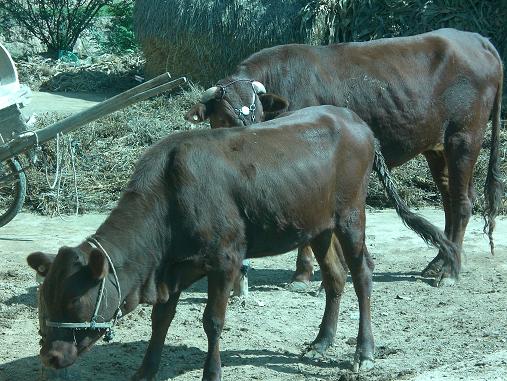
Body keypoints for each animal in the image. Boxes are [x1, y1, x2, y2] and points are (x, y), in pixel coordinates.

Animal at [25, 106, 458, 380]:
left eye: (72, 301)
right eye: (45, 298)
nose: (49, 355)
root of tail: (354, 120)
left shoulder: (226, 258)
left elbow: (212, 321)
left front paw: (211, 373)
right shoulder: (174, 267)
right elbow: (160, 319)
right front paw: (145, 371)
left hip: (351, 214)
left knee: (363, 274)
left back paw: (363, 352)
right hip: (316, 224)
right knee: (335, 277)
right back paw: (321, 342)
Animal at [187, 27, 504, 288]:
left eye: (258, 112)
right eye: (223, 117)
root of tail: (477, 39)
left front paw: (302, 274)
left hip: (464, 136)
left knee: (462, 203)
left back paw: (448, 271)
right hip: (436, 146)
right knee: (450, 201)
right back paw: (439, 261)